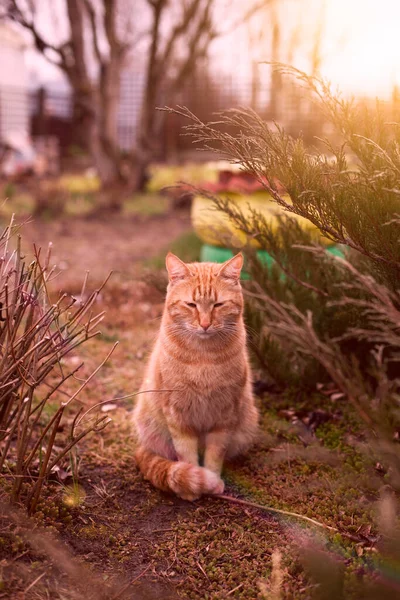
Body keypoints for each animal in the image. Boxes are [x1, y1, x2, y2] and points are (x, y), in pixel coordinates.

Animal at [133, 253, 260, 502]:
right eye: (191, 305)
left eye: (219, 305)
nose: (205, 324)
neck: (203, 357)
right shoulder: (177, 414)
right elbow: (187, 454)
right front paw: (191, 487)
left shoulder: (225, 414)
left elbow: (215, 453)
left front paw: (212, 481)